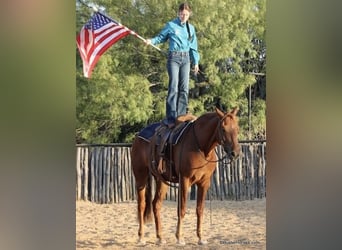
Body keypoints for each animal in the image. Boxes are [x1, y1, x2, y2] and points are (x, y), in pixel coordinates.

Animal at [131, 106, 240, 245]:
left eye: (237, 128)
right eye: (223, 129)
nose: (235, 153)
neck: (201, 147)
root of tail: (139, 135)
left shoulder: (204, 182)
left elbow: (200, 210)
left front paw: (201, 237)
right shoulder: (185, 180)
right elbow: (182, 209)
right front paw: (180, 237)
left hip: (161, 180)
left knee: (156, 204)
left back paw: (160, 237)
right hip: (140, 176)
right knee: (141, 205)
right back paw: (141, 237)